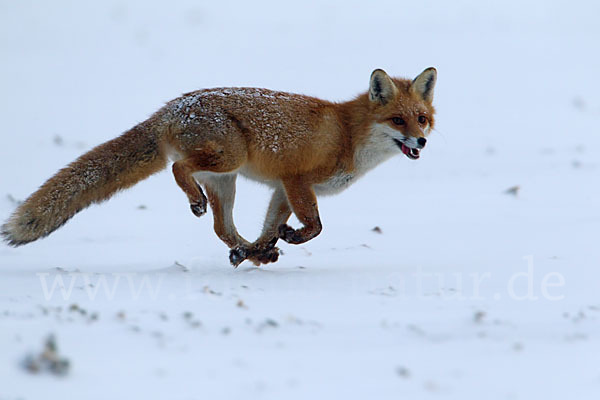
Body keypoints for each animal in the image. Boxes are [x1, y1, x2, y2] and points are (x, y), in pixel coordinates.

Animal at [0, 68, 436, 268]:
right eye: (398, 120)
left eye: (421, 119)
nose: (421, 142)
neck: (347, 134)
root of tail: (171, 107)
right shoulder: (297, 180)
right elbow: (314, 227)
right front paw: (288, 239)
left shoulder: (281, 189)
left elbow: (271, 227)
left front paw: (262, 247)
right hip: (230, 159)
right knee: (179, 170)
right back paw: (198, 206)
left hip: (225, 181)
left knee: (222, 228)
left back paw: (249, 253)